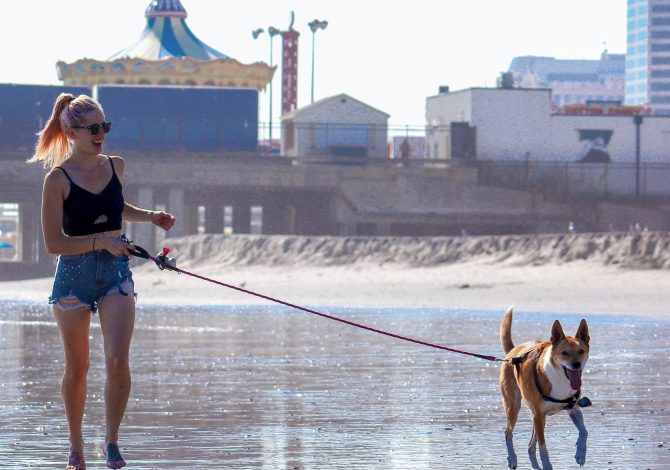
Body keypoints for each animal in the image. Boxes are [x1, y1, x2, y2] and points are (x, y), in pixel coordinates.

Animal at [498, 306, 592, 468]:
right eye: (564, 353)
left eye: (581, 351)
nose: (576, 364)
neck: (561, 378)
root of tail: (513, 351)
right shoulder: (538, 414)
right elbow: (543, 448)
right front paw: (548, 466)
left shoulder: (573, 409)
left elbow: (584, 432)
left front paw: (580, 454)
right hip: (515, 406)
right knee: (508, 432)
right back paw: (512, 458)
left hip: (538, 418)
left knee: (530, 446)